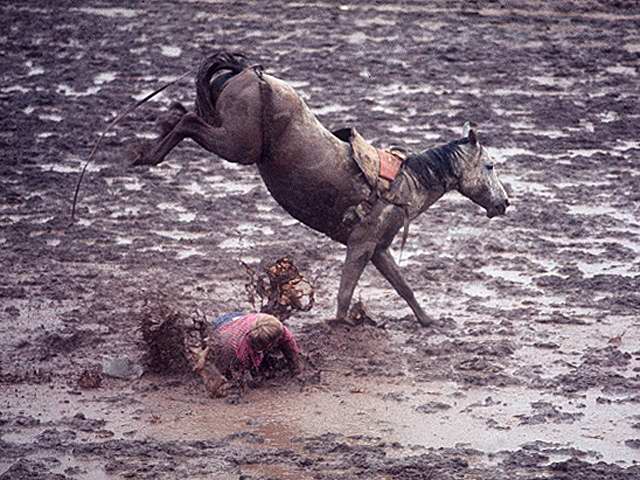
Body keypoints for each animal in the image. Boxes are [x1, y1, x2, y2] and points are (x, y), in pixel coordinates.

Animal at [131, 52, 510, 327]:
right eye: (490, 165)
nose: (504, 203)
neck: (407, 184)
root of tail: (251, 73)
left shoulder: (378, 249)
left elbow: (404, 287)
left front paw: (430, 321)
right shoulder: (361, 245)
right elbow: (346, 290)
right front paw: (340, 324)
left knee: (184, 118)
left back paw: (149, 148)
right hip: (237, 146)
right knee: (187, 122)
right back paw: (146, 153)